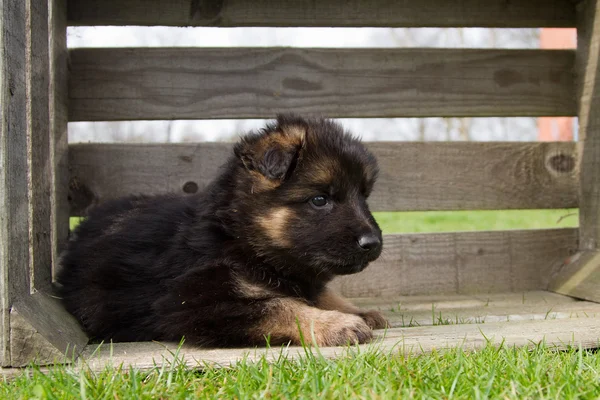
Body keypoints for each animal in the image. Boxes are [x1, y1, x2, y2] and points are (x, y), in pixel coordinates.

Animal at [57, 113, 390, 346]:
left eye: (363, 196)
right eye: (320, 200)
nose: (373, 243)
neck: (239, 235)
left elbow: (313, 292)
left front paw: (354, 311)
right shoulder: (193, 304)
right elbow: (279, 305)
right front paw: (335, 323)